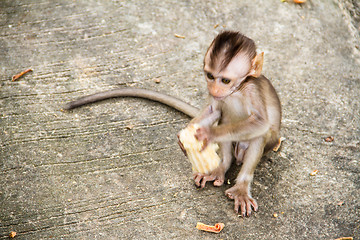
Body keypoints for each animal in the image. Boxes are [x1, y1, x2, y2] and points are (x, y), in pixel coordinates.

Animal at [64, 31, 282, 218]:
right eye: (211, 76)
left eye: (226, 80)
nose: (214, 89)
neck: (237, 90)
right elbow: (213, 110)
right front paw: (184, 136)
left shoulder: (252, 90)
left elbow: (260, 123)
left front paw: (209, 133)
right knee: (225, 119)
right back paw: (221, 167)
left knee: (258, 135)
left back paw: (241, 188)